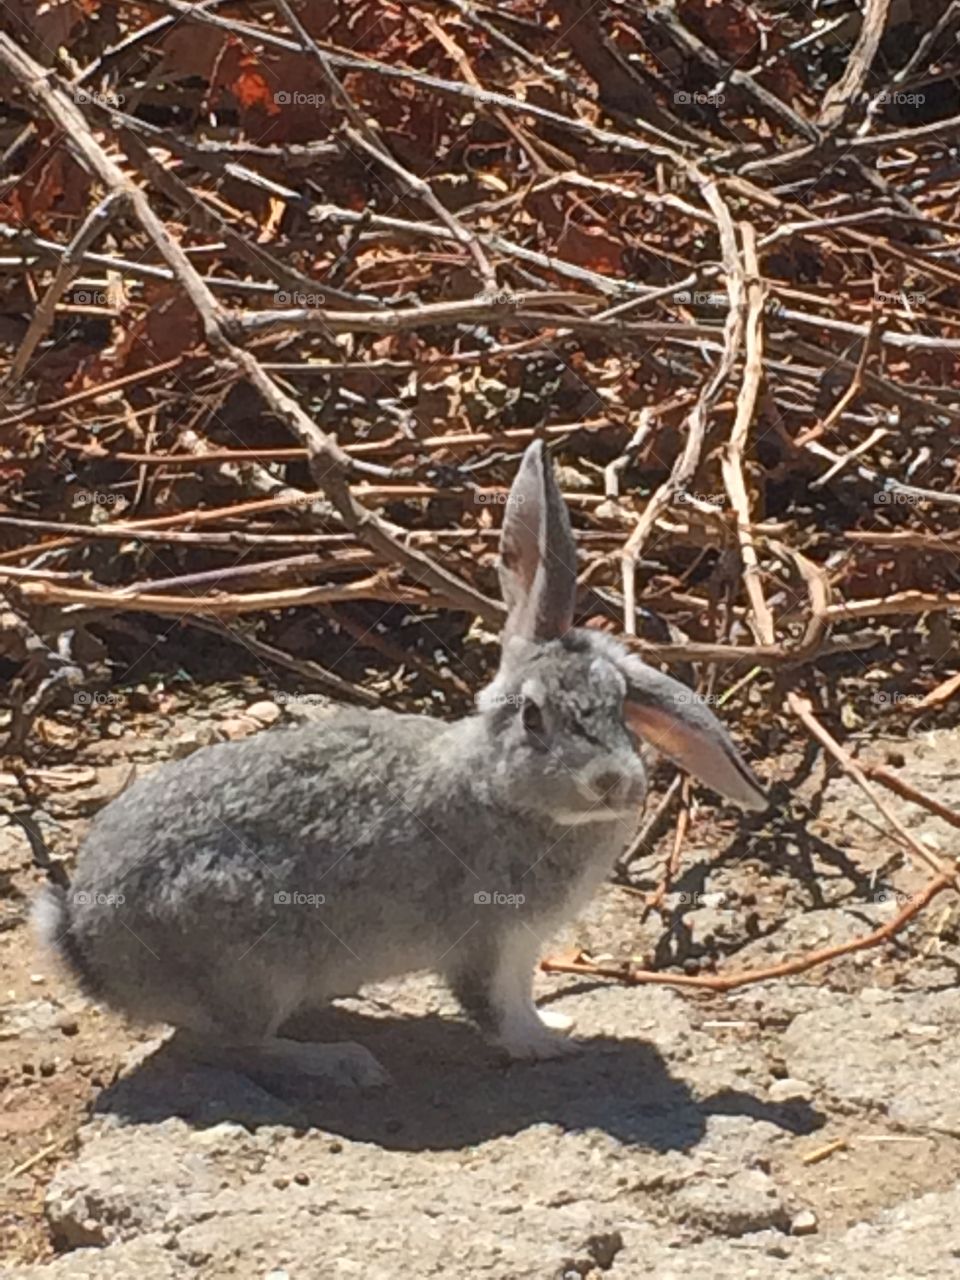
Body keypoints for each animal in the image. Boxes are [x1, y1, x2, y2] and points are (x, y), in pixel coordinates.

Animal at [34, 440, 766, 1088]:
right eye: (533, 717)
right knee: (232, 1048)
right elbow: (496, 1008)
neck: (494, 788)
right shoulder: (487, 941)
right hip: (251, 971)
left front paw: (555, 1023)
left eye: (621, 709)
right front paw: (547, 1045)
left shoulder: (522, 946)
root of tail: (88, 945)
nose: (615, 782)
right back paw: (340, 1063)